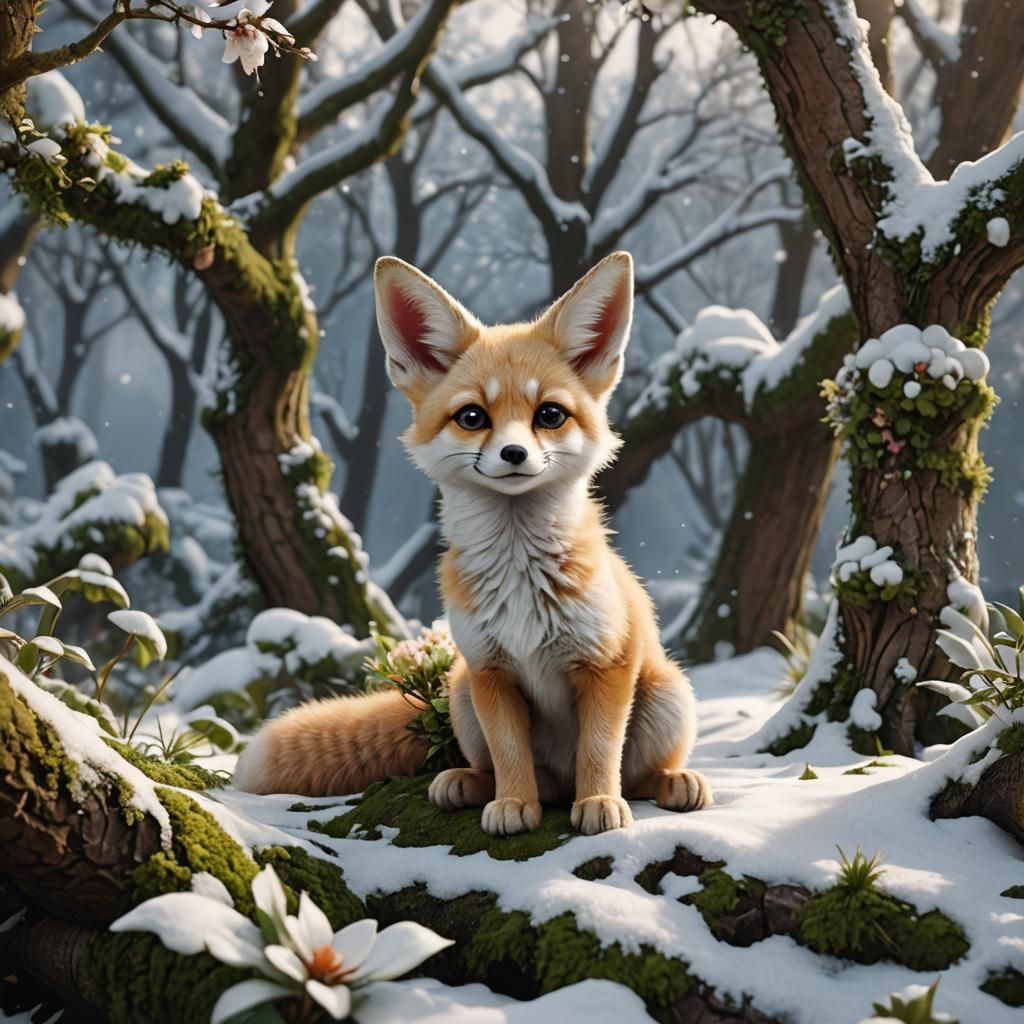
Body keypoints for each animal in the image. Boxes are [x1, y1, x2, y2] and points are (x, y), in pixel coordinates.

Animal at [234, 251, 711, 835]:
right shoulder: (490, 670)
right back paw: (472, 785)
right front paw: (512, 805)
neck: (524, 580)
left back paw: (668, 783)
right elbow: (509, 756)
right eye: (472, 417)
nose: (513, 454)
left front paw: (599, 801)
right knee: (521, 776)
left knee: (636, 775)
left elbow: (600, 750)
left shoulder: (606, 664)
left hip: (667, 693)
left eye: (549, 414)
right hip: (460, 692)